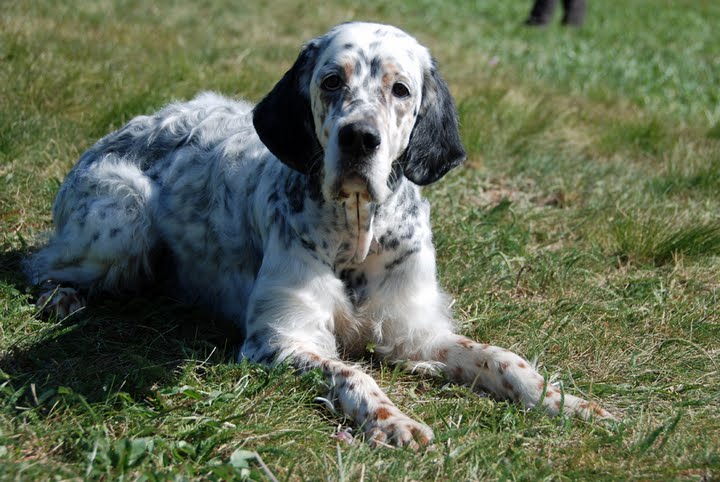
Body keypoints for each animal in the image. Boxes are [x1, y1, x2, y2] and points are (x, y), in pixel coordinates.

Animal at [25, 22, 613, 448]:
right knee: (38, 262)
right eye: (332, 81)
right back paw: (61, 297)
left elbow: (504, 360)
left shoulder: (414, 329)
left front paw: (569, 403)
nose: (360, 138)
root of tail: (137, 121)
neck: (358, 234)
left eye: (400, 89)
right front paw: (394, 420)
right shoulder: (281, 338)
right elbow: (353, 375)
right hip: (124, 220)